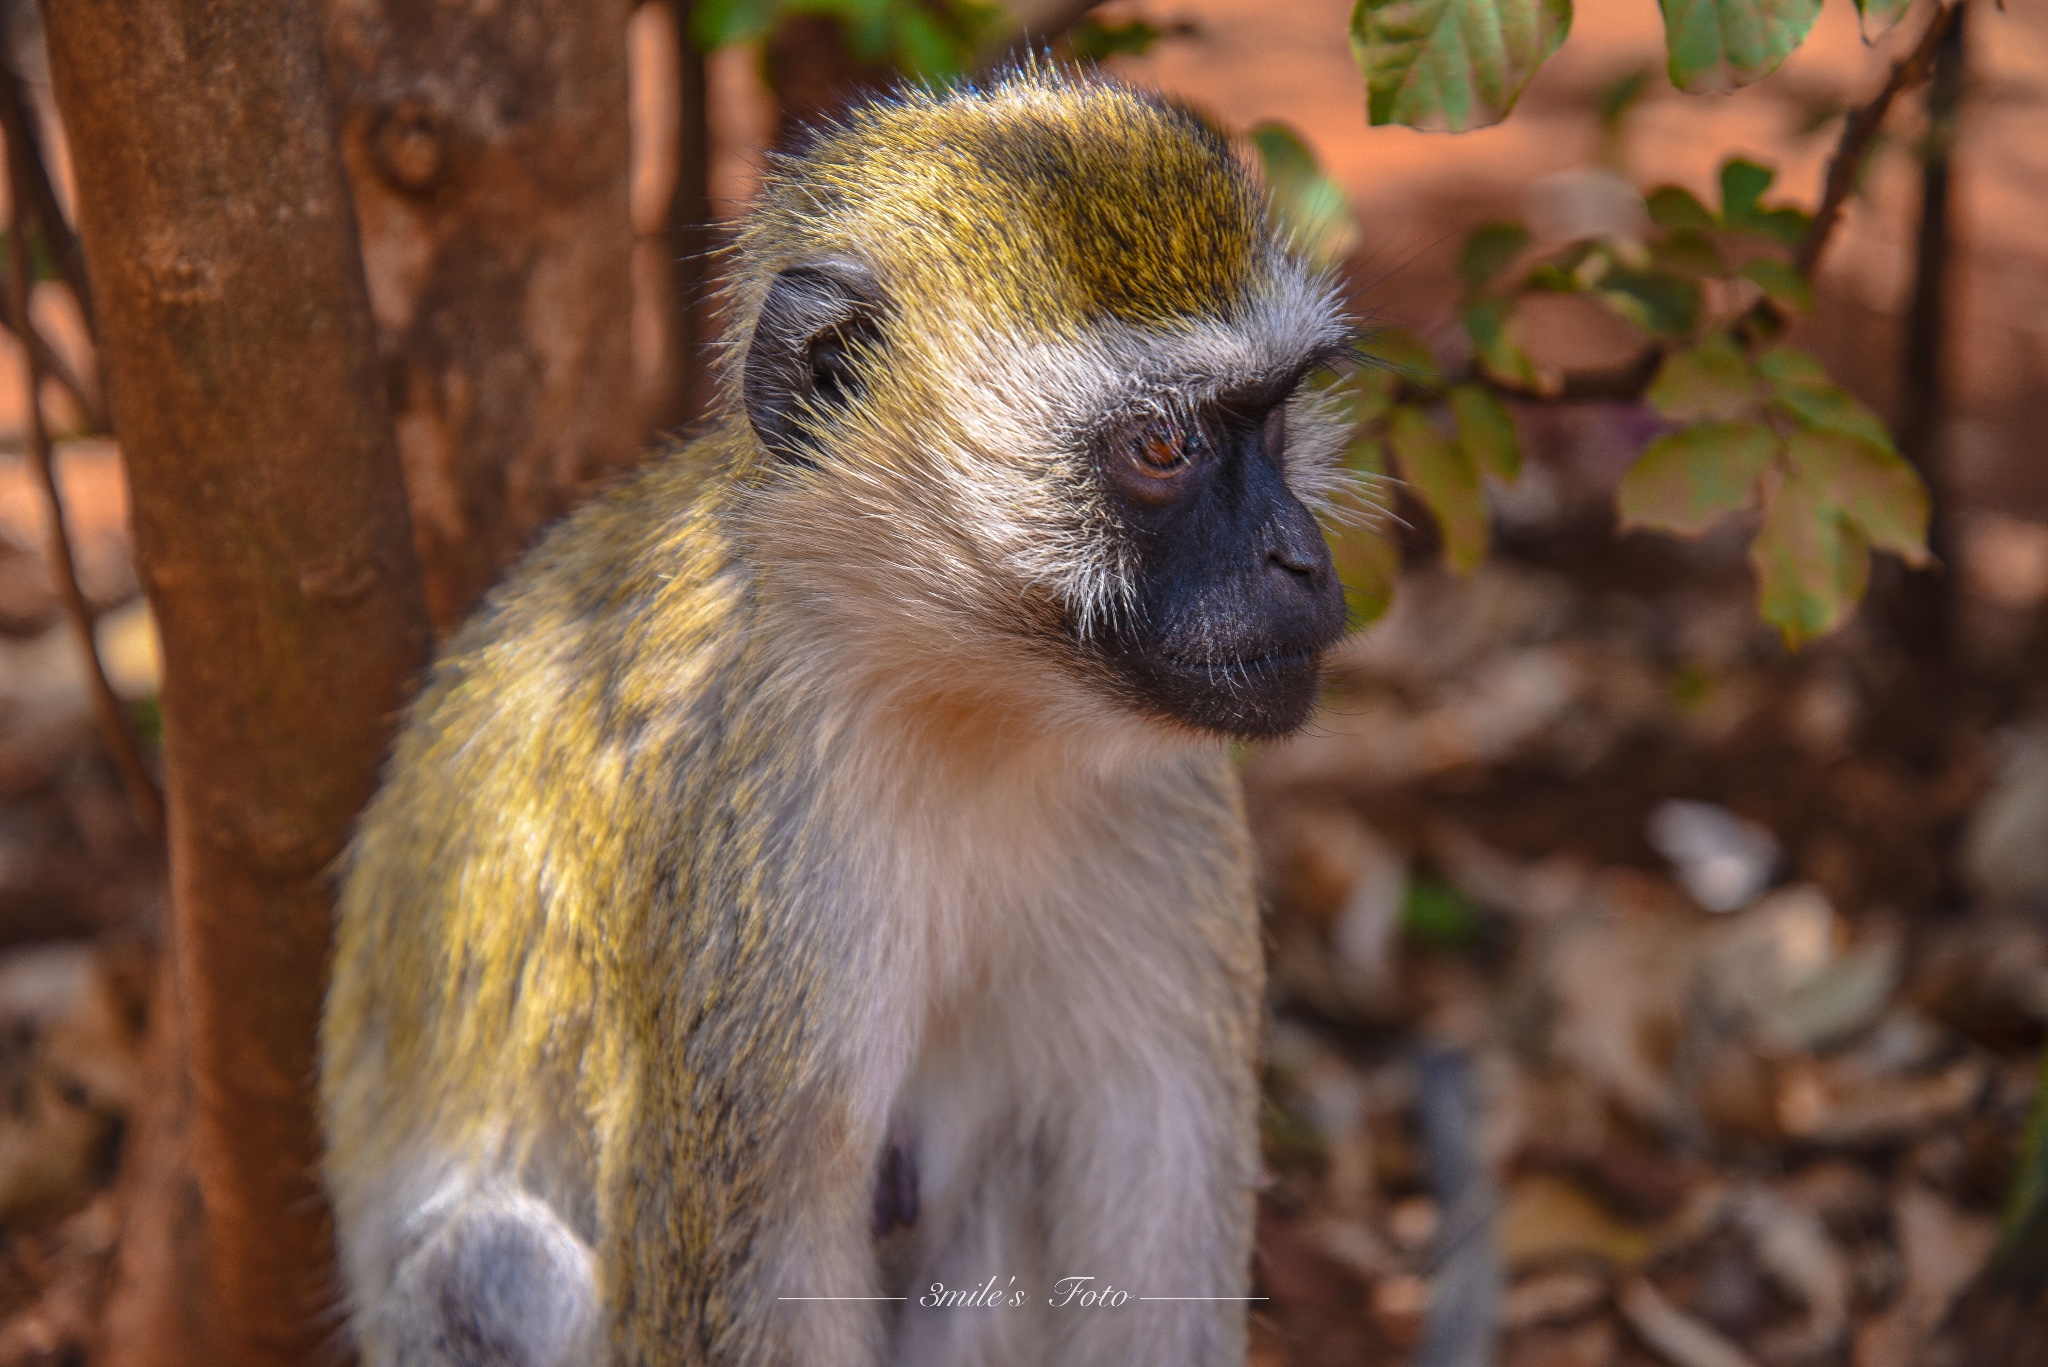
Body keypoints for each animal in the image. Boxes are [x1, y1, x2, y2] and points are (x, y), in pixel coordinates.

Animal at [323, 66, 1359, 1367]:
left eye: (1268, 419)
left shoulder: (1175, 811)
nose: (1299, 559)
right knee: (488, 1264)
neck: (971, 709)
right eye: (1164, 444)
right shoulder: (745, 856)